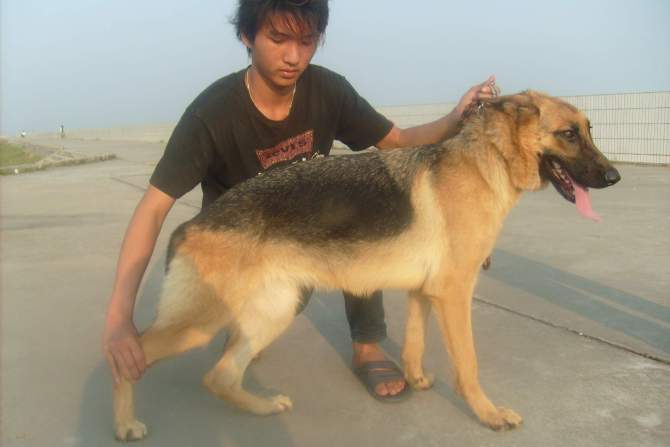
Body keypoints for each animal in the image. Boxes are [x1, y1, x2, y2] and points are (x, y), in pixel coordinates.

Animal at [112, 91, 620, 440]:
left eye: (590, 130)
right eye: (569, 134)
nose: (614, 176)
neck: (486, 160)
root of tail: (193, 223)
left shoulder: (425, 292)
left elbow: (414, 341)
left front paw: (416, 379)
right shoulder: (455, 293)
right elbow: (469, 364)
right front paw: (488, 414)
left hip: (273, 311)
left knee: (219, 375)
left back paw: (261, 408)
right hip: (203, 322)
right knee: (132, 355)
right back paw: (124, 422)